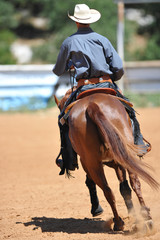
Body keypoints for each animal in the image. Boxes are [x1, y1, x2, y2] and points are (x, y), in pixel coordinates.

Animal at [54, 90, 159, 231]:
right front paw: (132, 215)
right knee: (132, 183)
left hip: (92, 163)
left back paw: (119, 222)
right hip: (122, 154)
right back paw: (145, 219)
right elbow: (124, 188)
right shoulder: (116, 162)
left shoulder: (88, 163)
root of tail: (91, 105)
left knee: (108, 189)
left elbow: (94, 183)